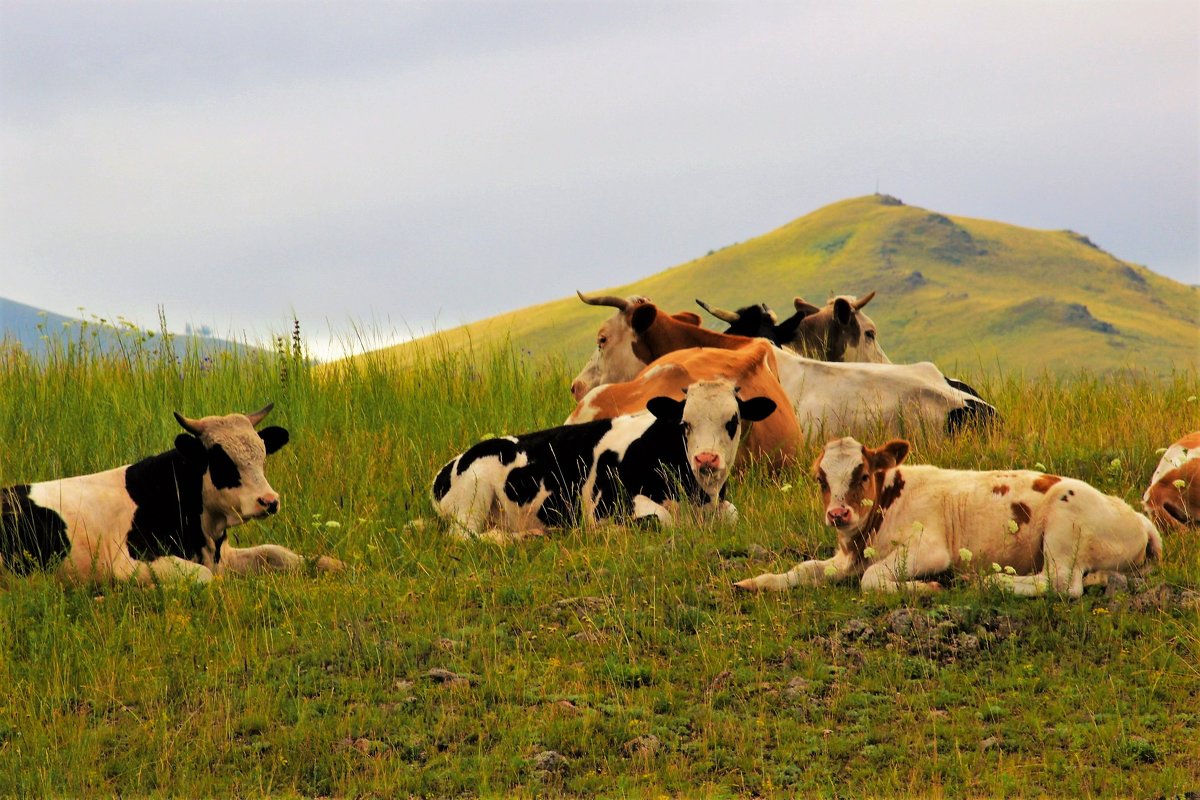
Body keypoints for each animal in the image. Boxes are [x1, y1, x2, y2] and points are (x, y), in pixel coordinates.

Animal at [1, 402, 348, 585]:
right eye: (221, 460)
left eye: (262, 455)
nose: (269, 501)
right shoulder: (127, 562)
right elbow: (203, 578)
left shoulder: (221, 555)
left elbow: (275, 552)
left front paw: (332, 565)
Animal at [432, 381, 777, 542]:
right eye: (685, 423)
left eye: (732, 421)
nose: (706, 458)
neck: (697, 497)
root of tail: (452, 463)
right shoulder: (609, 504)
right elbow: (659, 520)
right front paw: (606, 533)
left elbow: (732, 515)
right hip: (473, 494)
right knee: (465, 536)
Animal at [729, 434, 1161, 597]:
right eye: (820, 478)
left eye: (863, 474)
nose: (837, 514)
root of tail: (1137, 518)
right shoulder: (846, 557)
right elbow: (803, 570)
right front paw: (753, 582)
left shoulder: (929, 548)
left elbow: (872, 580)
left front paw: (928, 587)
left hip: (1064, 529)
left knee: (1060, 584)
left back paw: (990, 581)